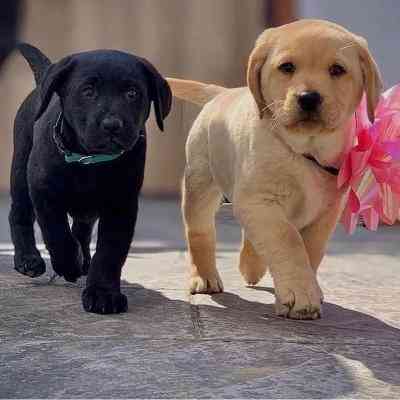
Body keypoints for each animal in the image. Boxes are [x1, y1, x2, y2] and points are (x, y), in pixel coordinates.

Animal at [9, 43, 171, 312]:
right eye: (88, 91)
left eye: (132, 93)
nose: (112, 125)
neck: (90, 161)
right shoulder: (44, 193)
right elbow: (57, 234)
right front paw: (68, 264)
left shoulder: (122, 204)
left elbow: (109, 251)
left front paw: (103, 294)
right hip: (21, 171)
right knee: (19, 214)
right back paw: (28, 259)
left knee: (82, 230)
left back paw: (84, 260)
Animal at [167, 18, 382, 320]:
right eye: (287, 67)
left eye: (337, 70)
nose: (308, 97)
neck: (304, 150)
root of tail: (225, 92)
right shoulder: (260, 200)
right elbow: (287, 240)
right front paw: (300, 293)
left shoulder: (326, 211)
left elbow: (310, 249)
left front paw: (306, 287)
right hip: (200, 182)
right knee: (200, 232)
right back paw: (205, 276)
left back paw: (251, 267)